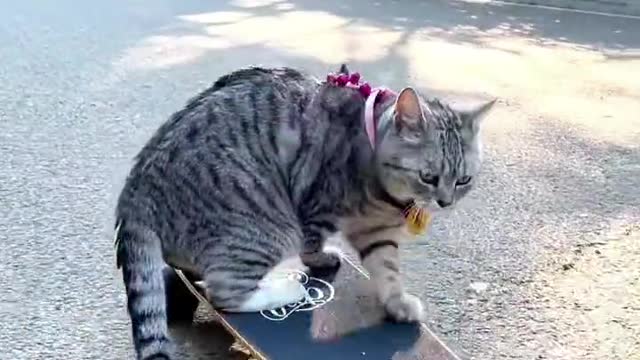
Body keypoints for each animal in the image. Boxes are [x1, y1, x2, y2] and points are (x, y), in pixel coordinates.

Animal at [114, 65, 496, 360]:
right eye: (428, 177)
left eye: (463, 180)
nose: (445, 201)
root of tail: (134, 192)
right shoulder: (316, 204)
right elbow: (313, 242)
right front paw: (320, 258)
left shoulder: (377, 231)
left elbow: (387, 268)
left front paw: (396, 302)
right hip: (267, 225)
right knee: (224, 292)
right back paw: (287, 291)